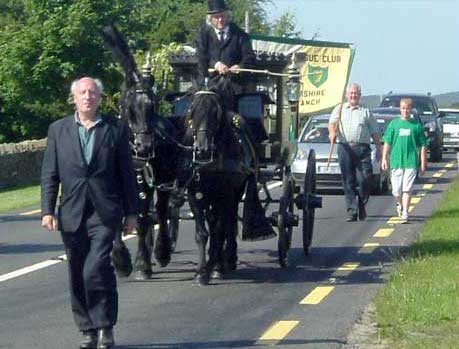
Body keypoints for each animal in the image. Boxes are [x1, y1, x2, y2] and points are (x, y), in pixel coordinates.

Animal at [102, 23, 178, 280]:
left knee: (162, 212)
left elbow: (146, 219)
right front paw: (121, 261)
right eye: (129, 108)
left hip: (163, 182)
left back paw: (161, 252)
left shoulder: (148, 183)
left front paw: (142, 263)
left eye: (152, 106)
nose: (144, 147)